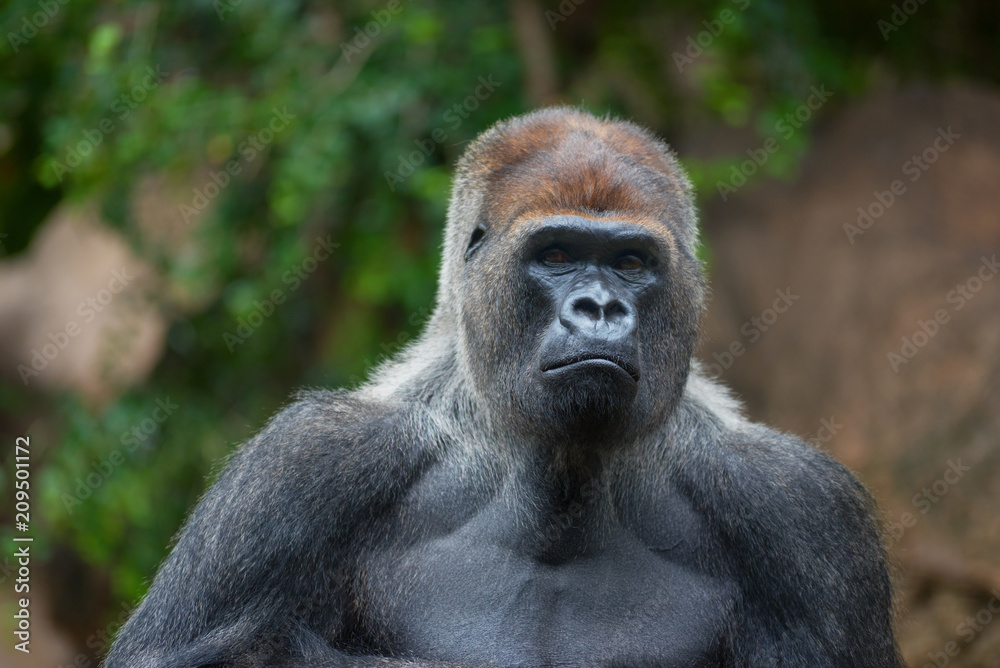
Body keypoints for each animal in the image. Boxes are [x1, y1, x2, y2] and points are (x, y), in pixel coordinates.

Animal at [105, 109, 904, 668]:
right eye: (556, 255)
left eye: (632, 262)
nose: (599, 309)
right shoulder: (302, 466)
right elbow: (181, 655)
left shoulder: (801, 510)